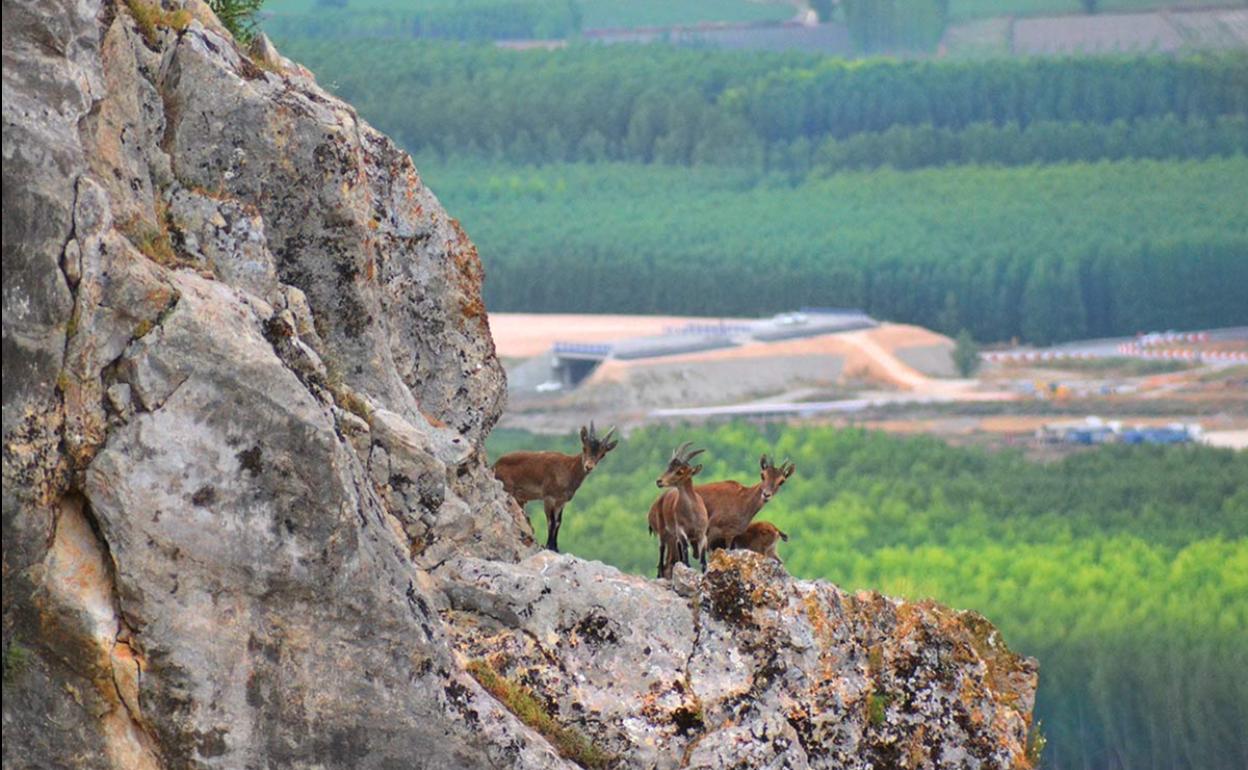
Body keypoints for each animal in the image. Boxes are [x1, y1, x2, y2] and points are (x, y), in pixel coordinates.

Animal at [492, 422, 618, 552]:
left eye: (602, 454)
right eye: (584, 448)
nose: (588, 467)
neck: (568, 469)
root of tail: (495, 465)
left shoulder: (561, 502)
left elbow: (558, 522)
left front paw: (555, 547)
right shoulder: (549, 497)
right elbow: (550, 521)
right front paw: (549, 546)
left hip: (520, 499)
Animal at [647, 442, 708, 579]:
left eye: (680, 471)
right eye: (669, 467)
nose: (659, 481)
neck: (692, 515)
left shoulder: (702, 534)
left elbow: (703, 561)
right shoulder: (681, 530)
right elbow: (685, 552)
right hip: (662, 531)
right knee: (661, 551)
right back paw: (659, 575)